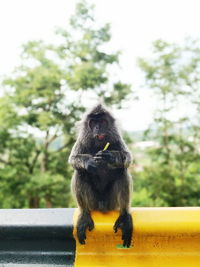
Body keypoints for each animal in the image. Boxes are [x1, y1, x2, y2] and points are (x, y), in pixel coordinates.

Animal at [69, 104, 133, 249]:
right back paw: (84, 215)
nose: (98, 128)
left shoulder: (116, 139)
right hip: (93, 202)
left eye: (102, 122)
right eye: (93, 123)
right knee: (80, 172)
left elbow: (127, 158)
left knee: (121, 170)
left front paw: (111, 157)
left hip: (111, 202)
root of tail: (102, 205)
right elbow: (73, 159)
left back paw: (124, 216)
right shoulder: (82, 139)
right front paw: (89, 162)